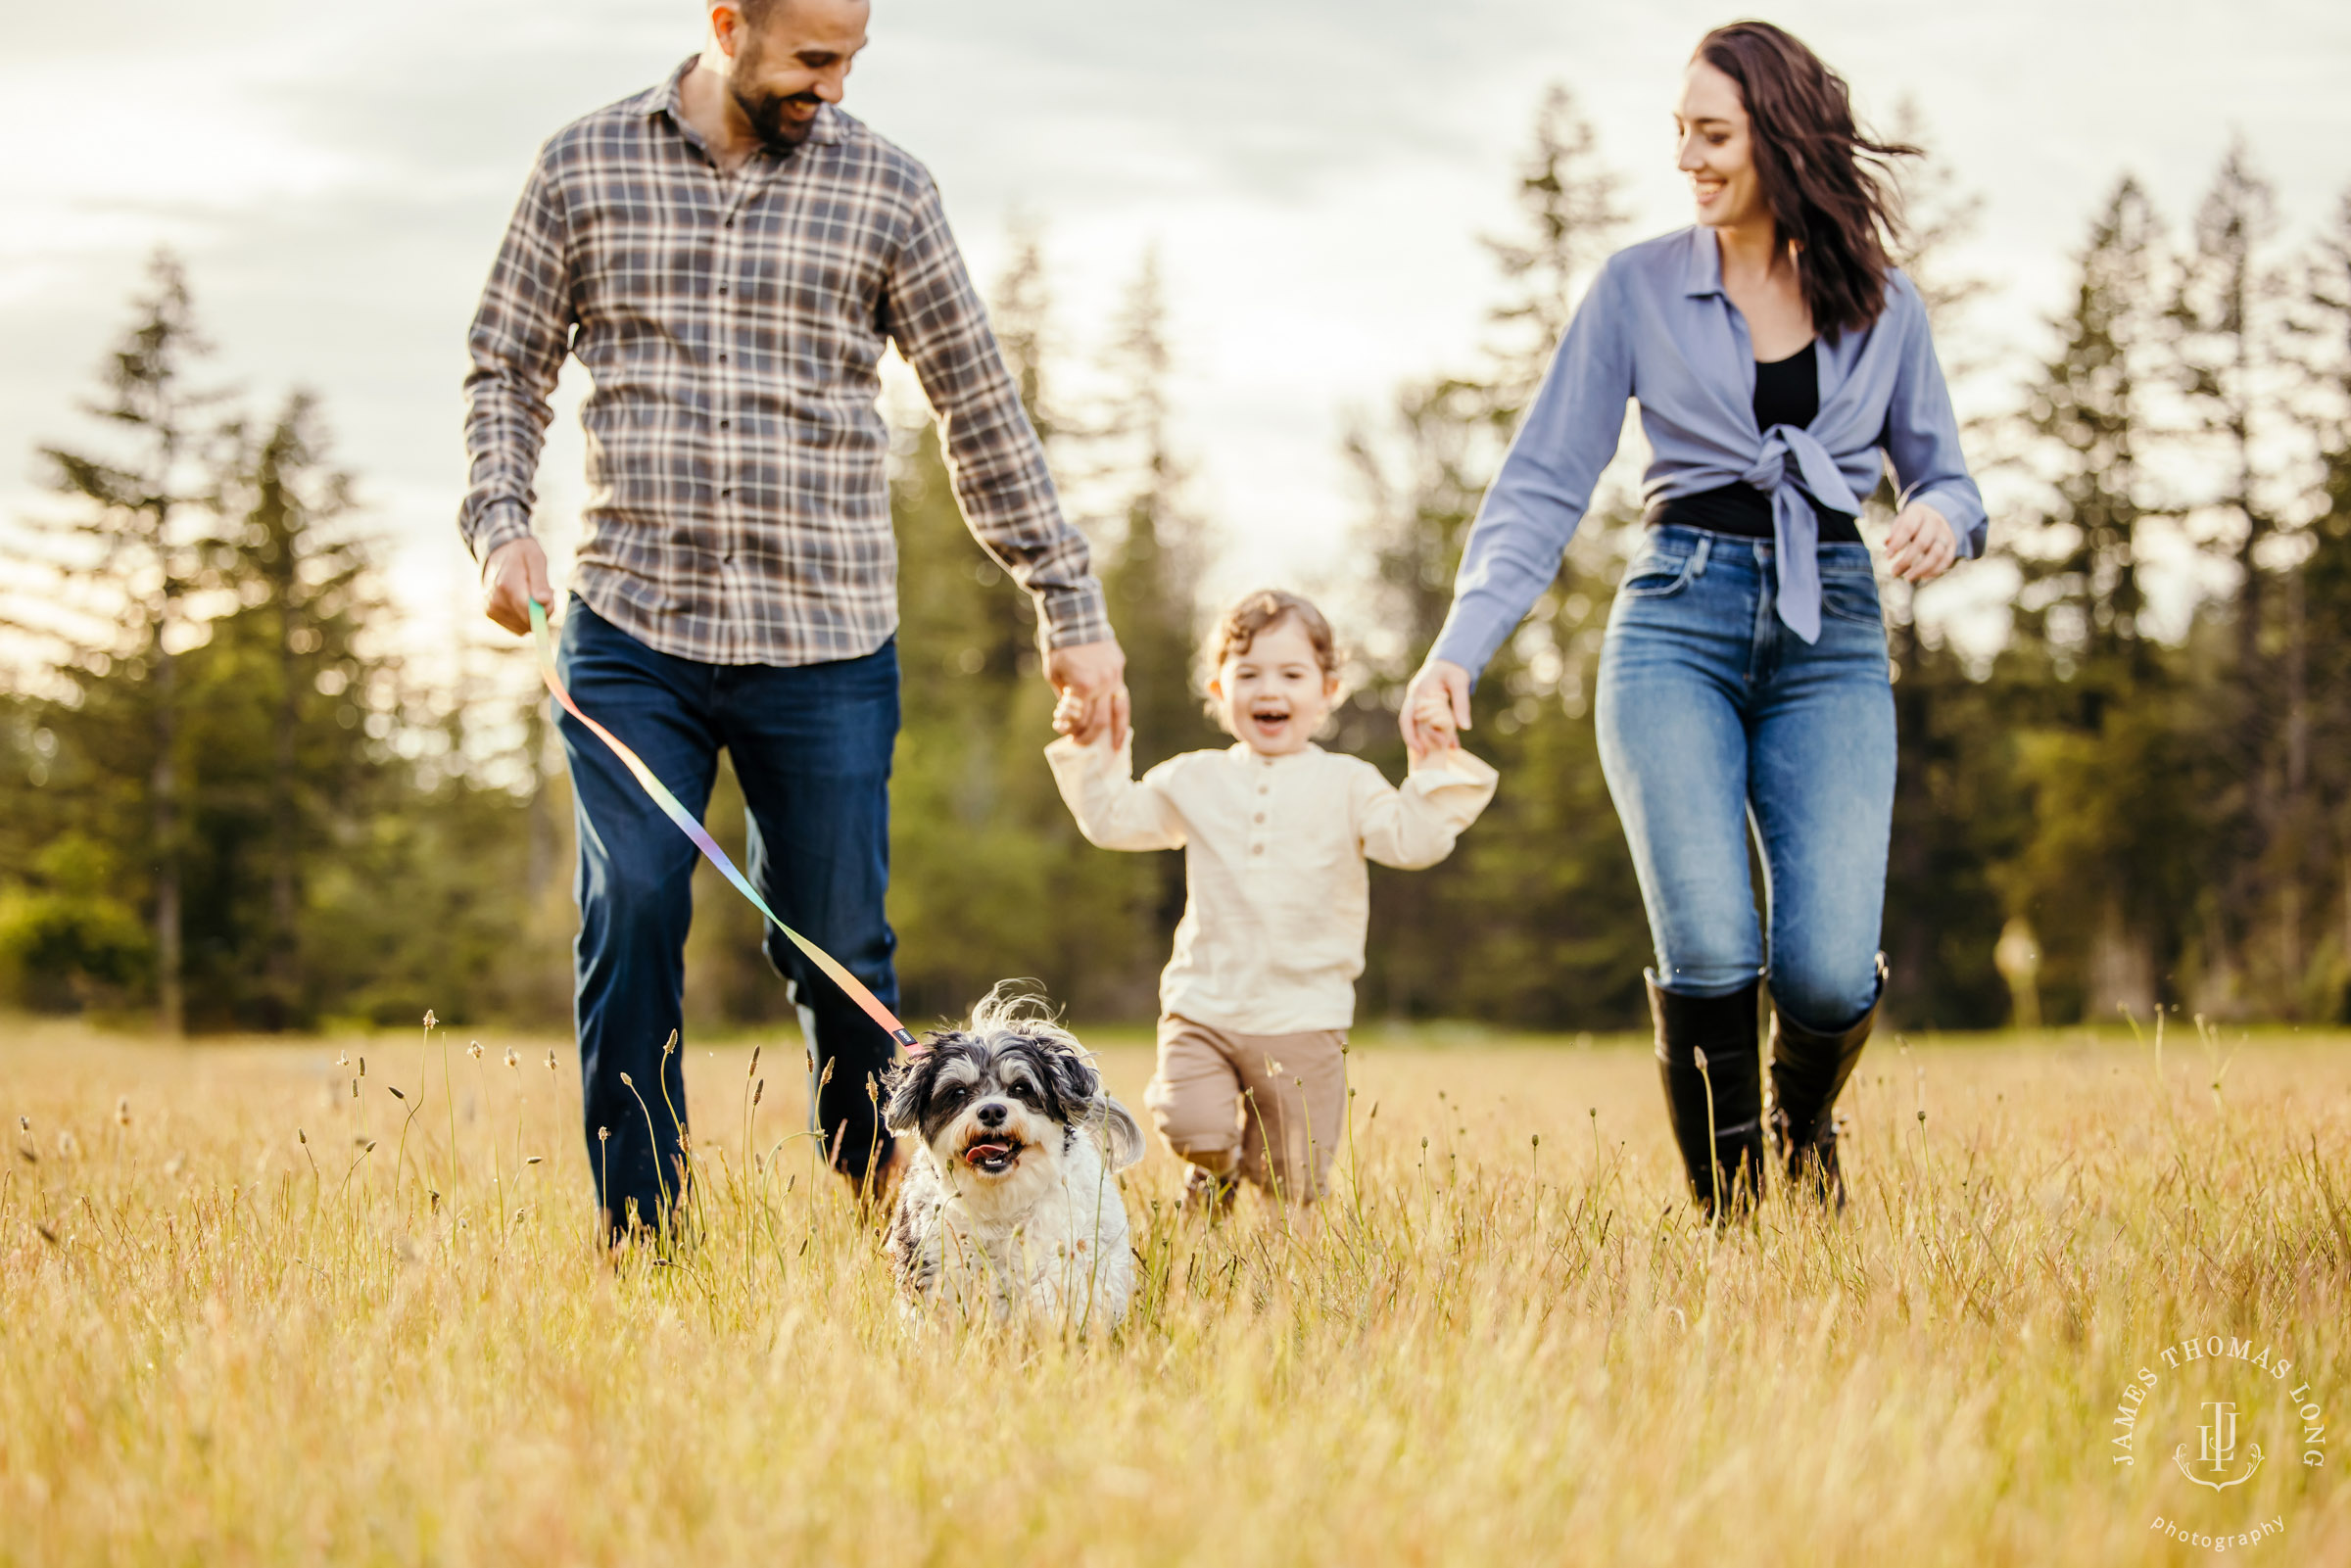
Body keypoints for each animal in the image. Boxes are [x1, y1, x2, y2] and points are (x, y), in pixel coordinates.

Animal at [879, 987, 1142, 1335]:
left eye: (1020, 1088)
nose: (991, 1110)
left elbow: (1056, 1291)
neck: (1001, 1200)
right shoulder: (932, 1252)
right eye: (958, 1092)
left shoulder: (1061, 1247)